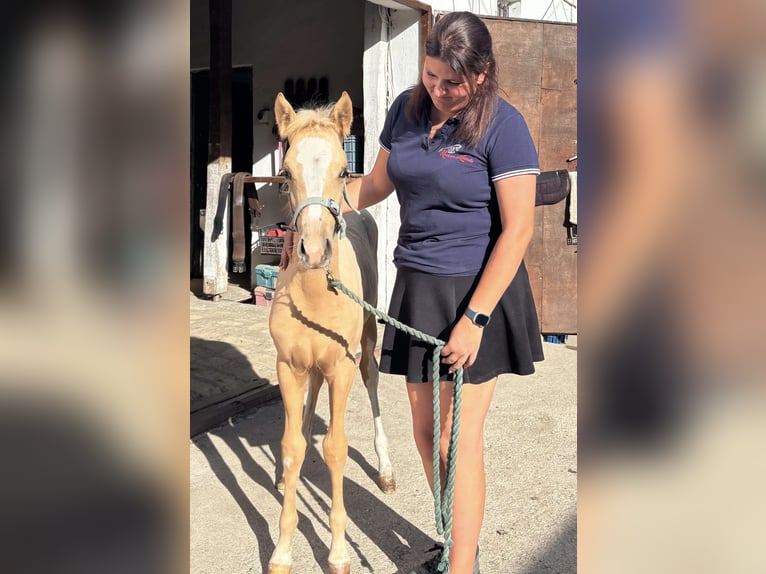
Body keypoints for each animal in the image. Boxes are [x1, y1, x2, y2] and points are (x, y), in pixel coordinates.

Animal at [267, 91, 395, 574]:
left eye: (343, 169)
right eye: (286, 173)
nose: (315, 250)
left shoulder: (341, 366)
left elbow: (336, 448)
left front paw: (339, 552)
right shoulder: (288, 366)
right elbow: (292, 445)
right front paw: (282, 549)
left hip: (367, 342)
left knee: (373, 383)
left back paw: (385, 469)